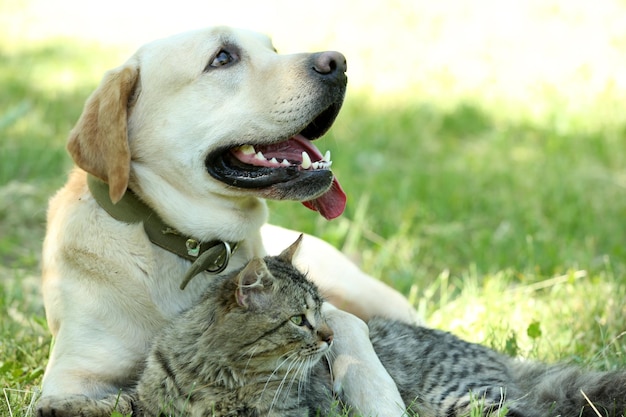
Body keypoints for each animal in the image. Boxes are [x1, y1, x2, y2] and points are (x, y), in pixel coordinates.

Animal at [34, 27, 414, 414]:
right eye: (221, 58)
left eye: (273, 48)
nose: (338, 62)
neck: (192, 250)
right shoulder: (71, 377)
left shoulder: (338, 319)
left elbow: (351, 338)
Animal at [133, 236, 624, 414]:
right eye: (299, 320)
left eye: (321, 312)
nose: (330, 338)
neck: (218, 374)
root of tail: (497, 356)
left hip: (466, 401)